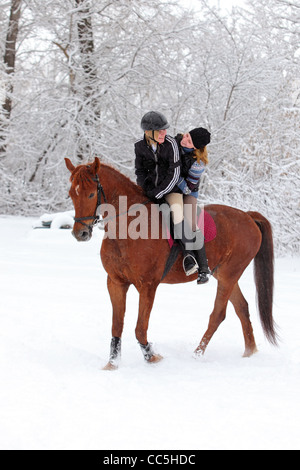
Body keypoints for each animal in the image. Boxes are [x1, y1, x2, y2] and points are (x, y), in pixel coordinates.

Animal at [64, 156, 278, 370]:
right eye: (71, 194)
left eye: (91, 194)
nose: (80, 233)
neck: (129, 227)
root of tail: (248, 216)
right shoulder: (116, 282)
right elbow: (117, 326)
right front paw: (112, 364)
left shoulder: (148, 285)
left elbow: (140, 328)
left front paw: (152, 357)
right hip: (225, 275)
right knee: (242, 308)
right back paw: (249, 352)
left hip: (229, 275)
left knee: (218, 314)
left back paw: (197, 355)